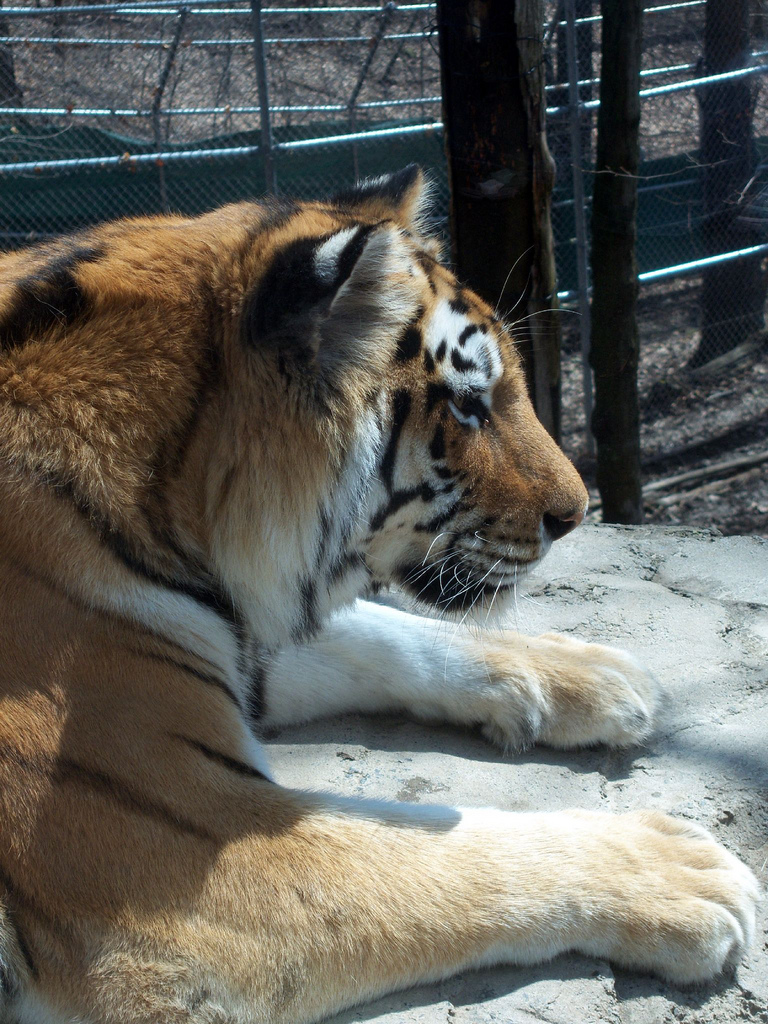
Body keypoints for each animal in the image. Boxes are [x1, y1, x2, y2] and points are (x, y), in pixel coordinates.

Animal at [0, 165, 758, 1024]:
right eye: (468, 405)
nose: (575, 514)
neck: (177, 497)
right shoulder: (174, 847)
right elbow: (449, 852)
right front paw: (677, 870)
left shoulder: (233, 635)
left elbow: (389, 632)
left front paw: (600, 674)